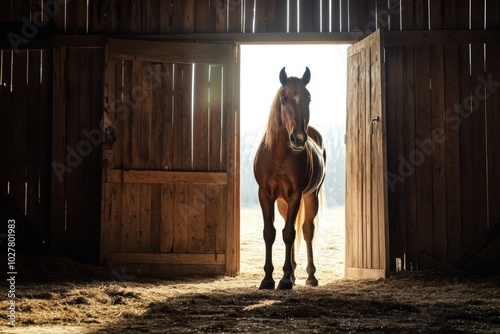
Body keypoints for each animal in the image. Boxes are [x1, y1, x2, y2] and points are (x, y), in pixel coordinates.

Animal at [252, 66, 326, 290]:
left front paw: (284, 279)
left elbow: (289, 234)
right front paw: (268, 279)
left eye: (308, 98)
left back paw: (310, 276)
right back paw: (293, 274)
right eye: (283, 99)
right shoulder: (265, 195)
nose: (298, 139)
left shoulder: (295, 195)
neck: (279, 156)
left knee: (306, 230)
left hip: (310, 196)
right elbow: (270, 233)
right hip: (283, 203)